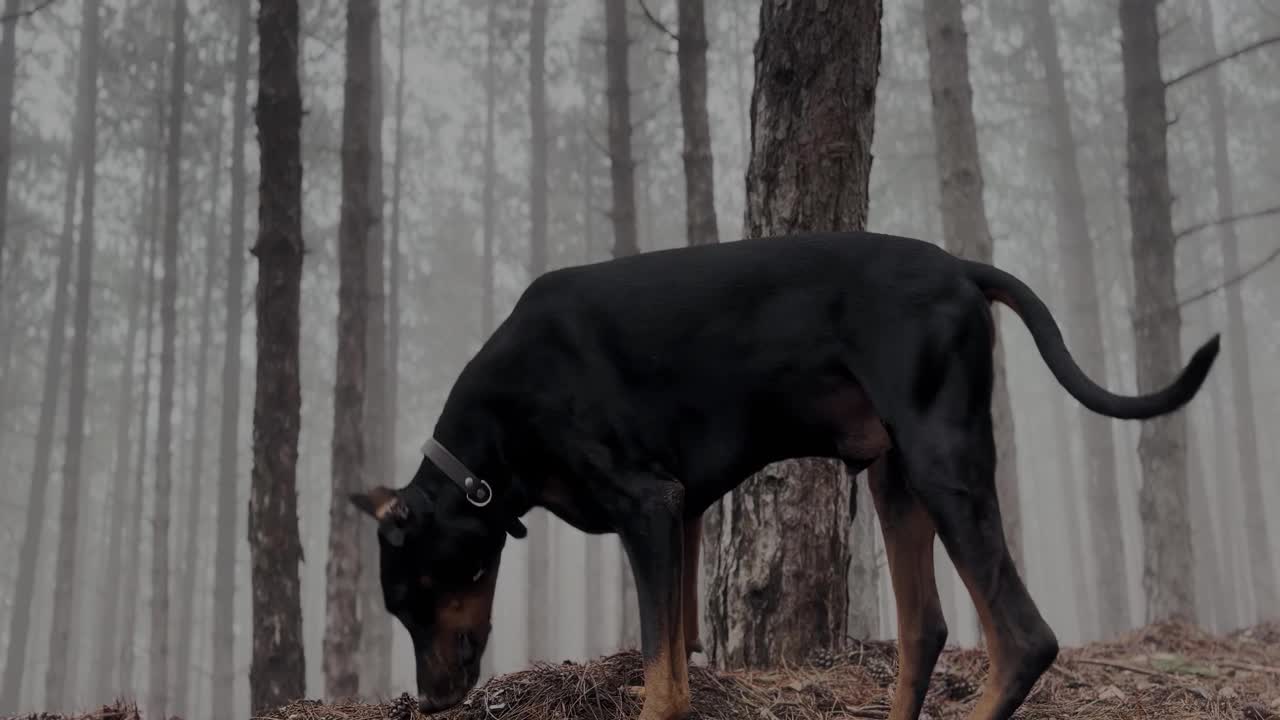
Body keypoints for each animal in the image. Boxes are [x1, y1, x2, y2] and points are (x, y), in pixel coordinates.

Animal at [353, 229, 1218, 717]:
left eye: (417, 597)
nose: (432, 702)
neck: (496, 434)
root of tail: (961, 268)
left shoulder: (647, 503)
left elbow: (663, 683)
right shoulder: (681, 514)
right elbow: (678, 650)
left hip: (942, 462)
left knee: (1024, 640)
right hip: (894, 477)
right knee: (926, 630)